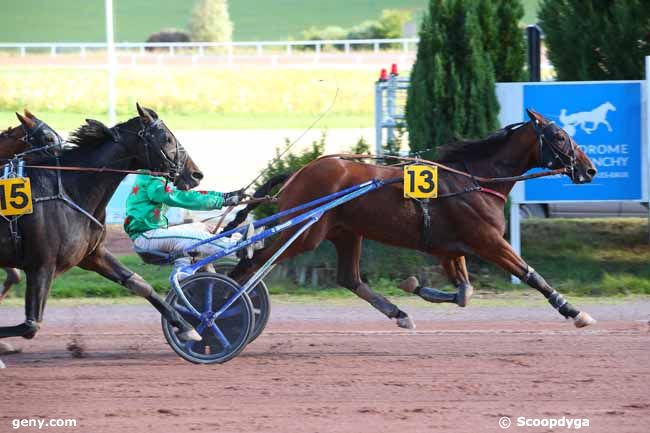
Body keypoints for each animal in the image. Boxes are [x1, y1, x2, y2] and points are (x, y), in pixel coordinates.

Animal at [0, 104, 205, 344]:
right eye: (167, 139)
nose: (196, 173)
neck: (69, 189)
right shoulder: (42, 265)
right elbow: (30, 325)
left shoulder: (92, 254)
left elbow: (139, 284)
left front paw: (185, 325)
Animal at [232, 109, 596, 328]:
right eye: (560, 137)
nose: (589, 169)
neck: (474, 180)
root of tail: (300, 172)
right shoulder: (489, 242)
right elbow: (530, 274)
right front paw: (574, 311)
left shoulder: (450, 248)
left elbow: (464, 293)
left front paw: (415, 286)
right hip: (304, 233)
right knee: (251, 264)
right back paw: (226, 307)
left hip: (346, 232)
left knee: (350, 278)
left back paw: (399, 313)